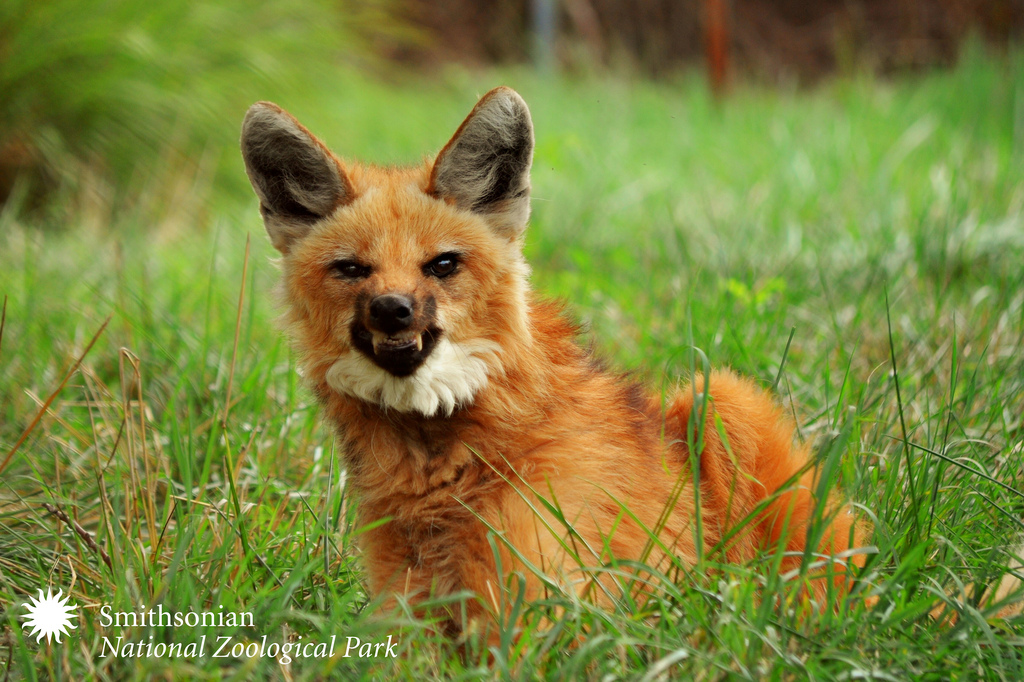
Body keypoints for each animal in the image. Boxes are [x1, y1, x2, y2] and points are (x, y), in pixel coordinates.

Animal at [239, 86, 864, 638]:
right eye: (351, 269)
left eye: (442, 264)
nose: (393, 310)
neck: (442, 464)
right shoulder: (407, 607)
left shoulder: (537, 601)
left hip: (721, 397)